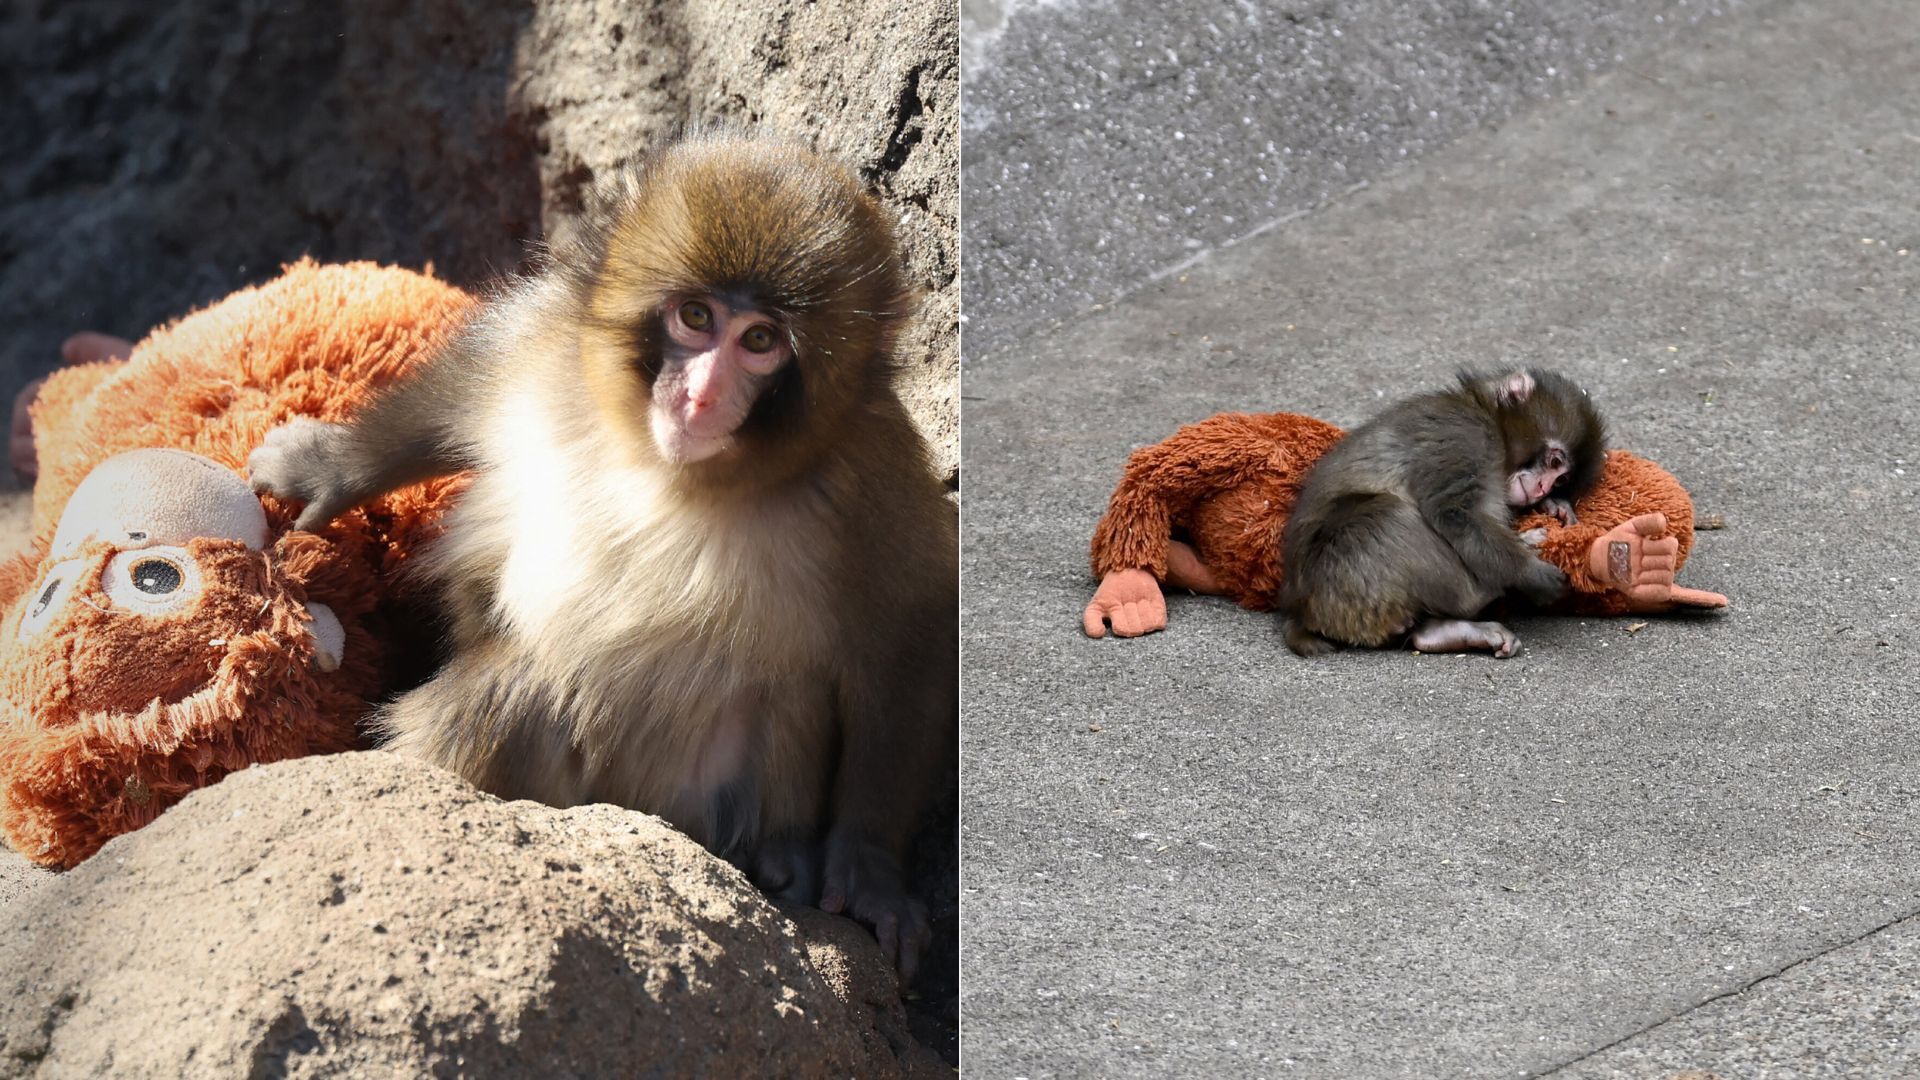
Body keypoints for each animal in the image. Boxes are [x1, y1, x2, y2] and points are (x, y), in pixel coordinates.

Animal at [246, 133, 956, 977]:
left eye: (759, 342)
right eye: (695, 317)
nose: (699, 396)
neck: (669, 469)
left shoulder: (871, 480)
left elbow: (909, 638)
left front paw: (872, 868)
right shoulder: (548, 348)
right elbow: (462, 390)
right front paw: (331, 468)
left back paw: (782, 860)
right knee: (516, 692)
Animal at [1277, 368, 1606, 659]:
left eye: (1561, 479)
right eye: (1554, 462)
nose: (1542, 489)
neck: (1487, 416)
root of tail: (1300, 611)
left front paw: (1554, 506)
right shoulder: (1465, 436)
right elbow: (1455, 512)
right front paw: (1529, 572)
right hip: (1341, 580)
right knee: (1388, 515)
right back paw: (1488, 589)